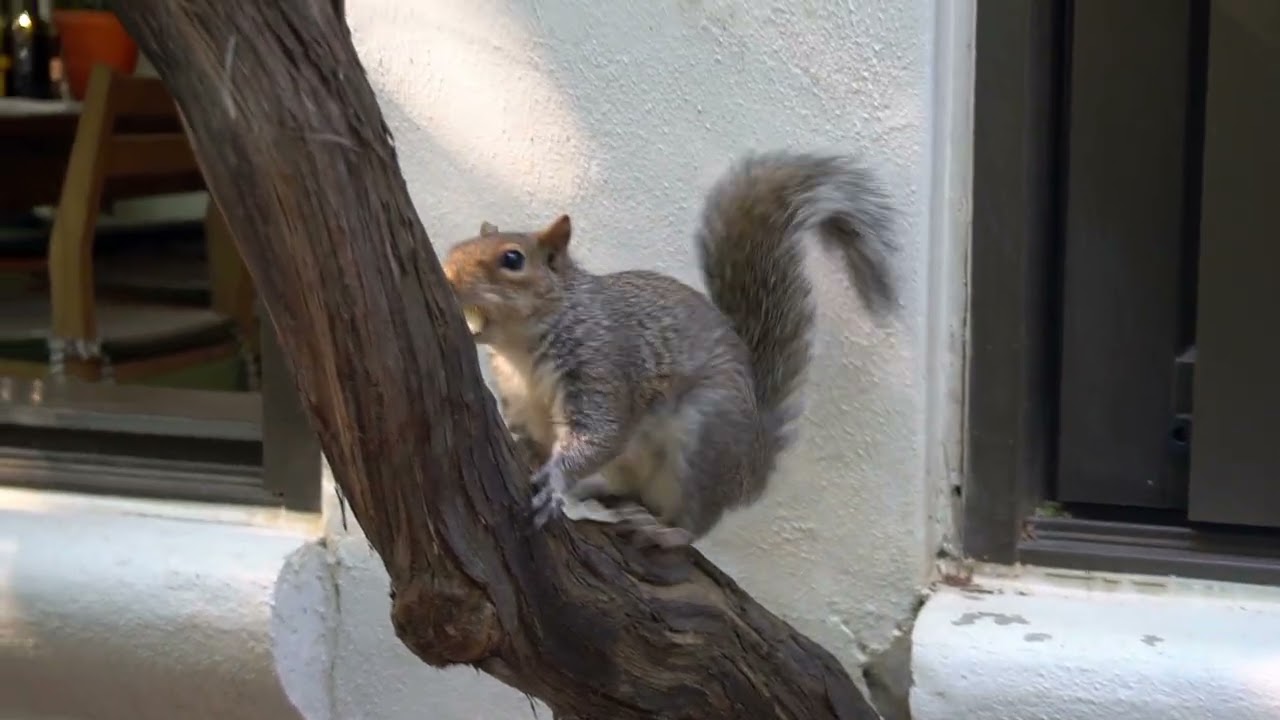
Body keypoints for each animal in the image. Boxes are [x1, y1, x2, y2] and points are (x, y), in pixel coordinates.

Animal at [441, 150, 897, 548]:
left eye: (512, 259)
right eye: (456, 247)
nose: (448, 276)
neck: (521, 351)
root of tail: (753, 466)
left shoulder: (603, 365)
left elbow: (600, 434)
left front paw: (555, 483)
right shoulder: (520, 398)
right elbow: (529, 436)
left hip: (702, 440)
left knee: (696, 521)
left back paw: (665, 532)